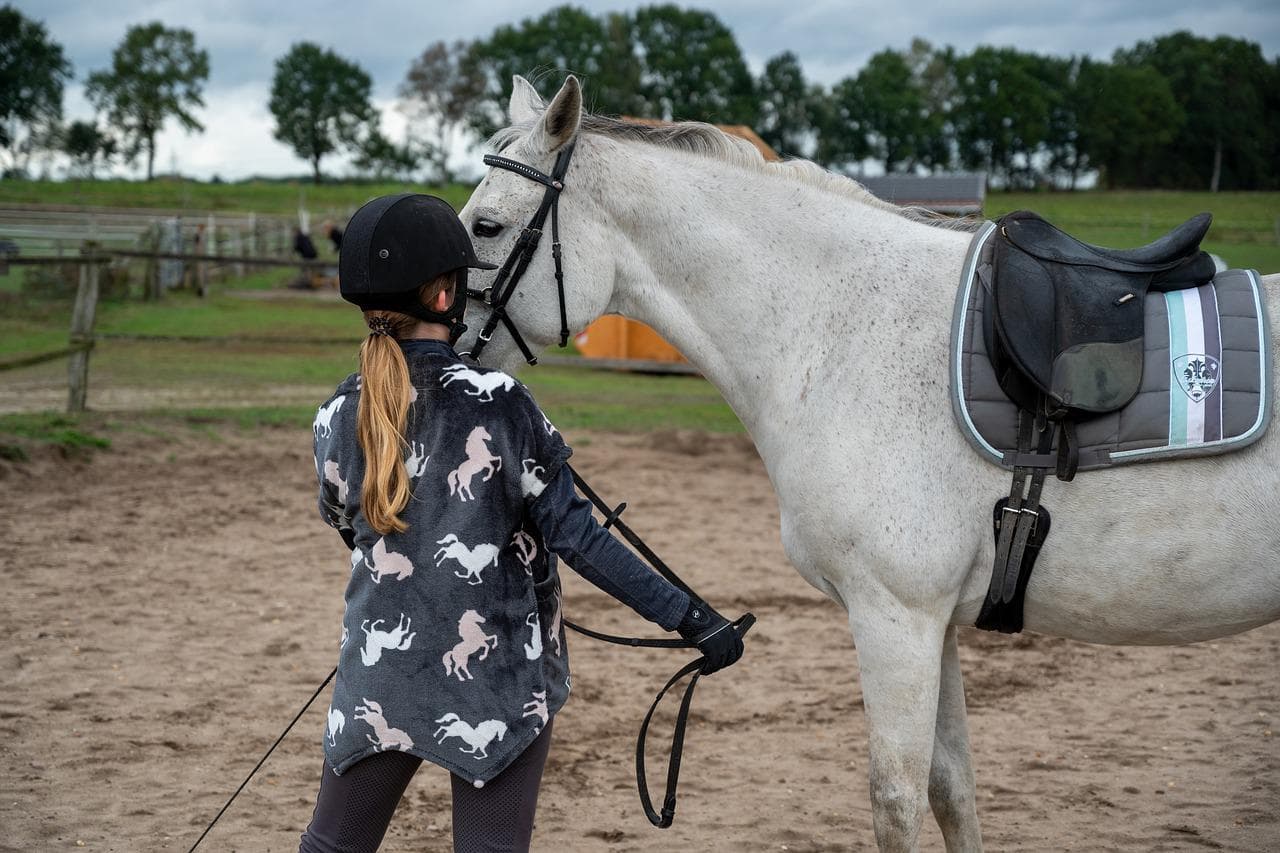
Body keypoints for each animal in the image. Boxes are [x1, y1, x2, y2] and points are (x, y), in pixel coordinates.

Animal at [454, 75, 1280, 851]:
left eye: (486, 225)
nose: (433, 333)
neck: (843, 329)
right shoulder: (936, 623)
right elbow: (953, 789)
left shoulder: (896, 617)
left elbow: (898, 800)